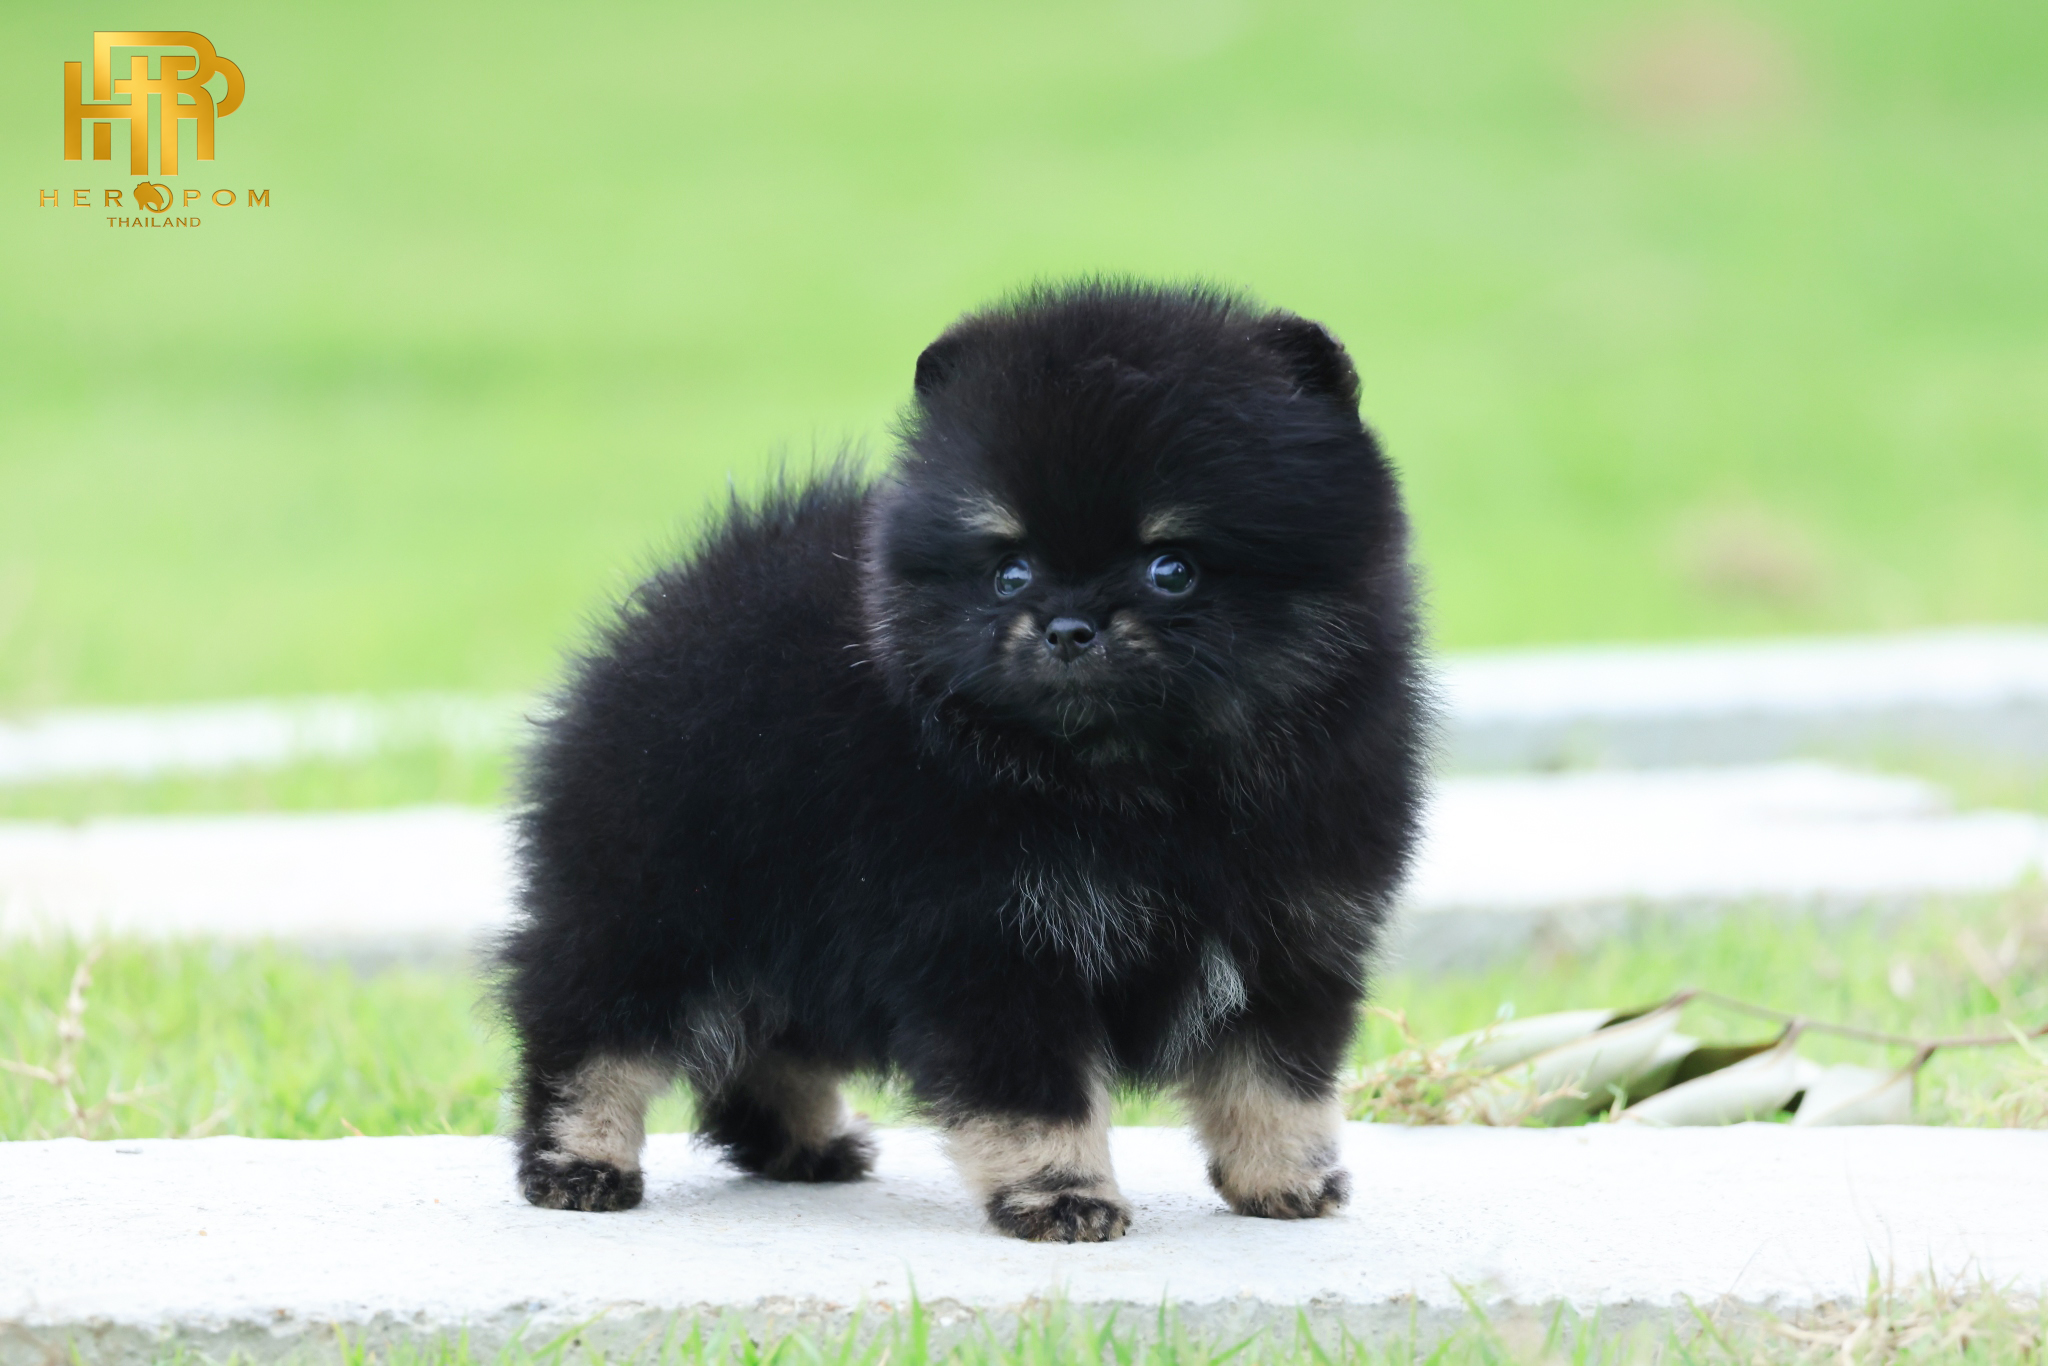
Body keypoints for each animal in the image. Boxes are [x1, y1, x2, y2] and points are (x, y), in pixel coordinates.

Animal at [499, 280, 1426, 1241]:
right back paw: (580, 1160)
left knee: (769, 1040)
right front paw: (1063, 1192)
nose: (1067, 627)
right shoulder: (988, 939)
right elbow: (1036, 1095)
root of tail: (693, 591)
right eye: (1009, 571)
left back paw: (809, 1144)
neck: (1137, 786)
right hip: (658, 896)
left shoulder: (1293, 930)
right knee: (588, 1025)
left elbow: (1276, 1076)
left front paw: (1286, 1179)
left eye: (1173, 568)